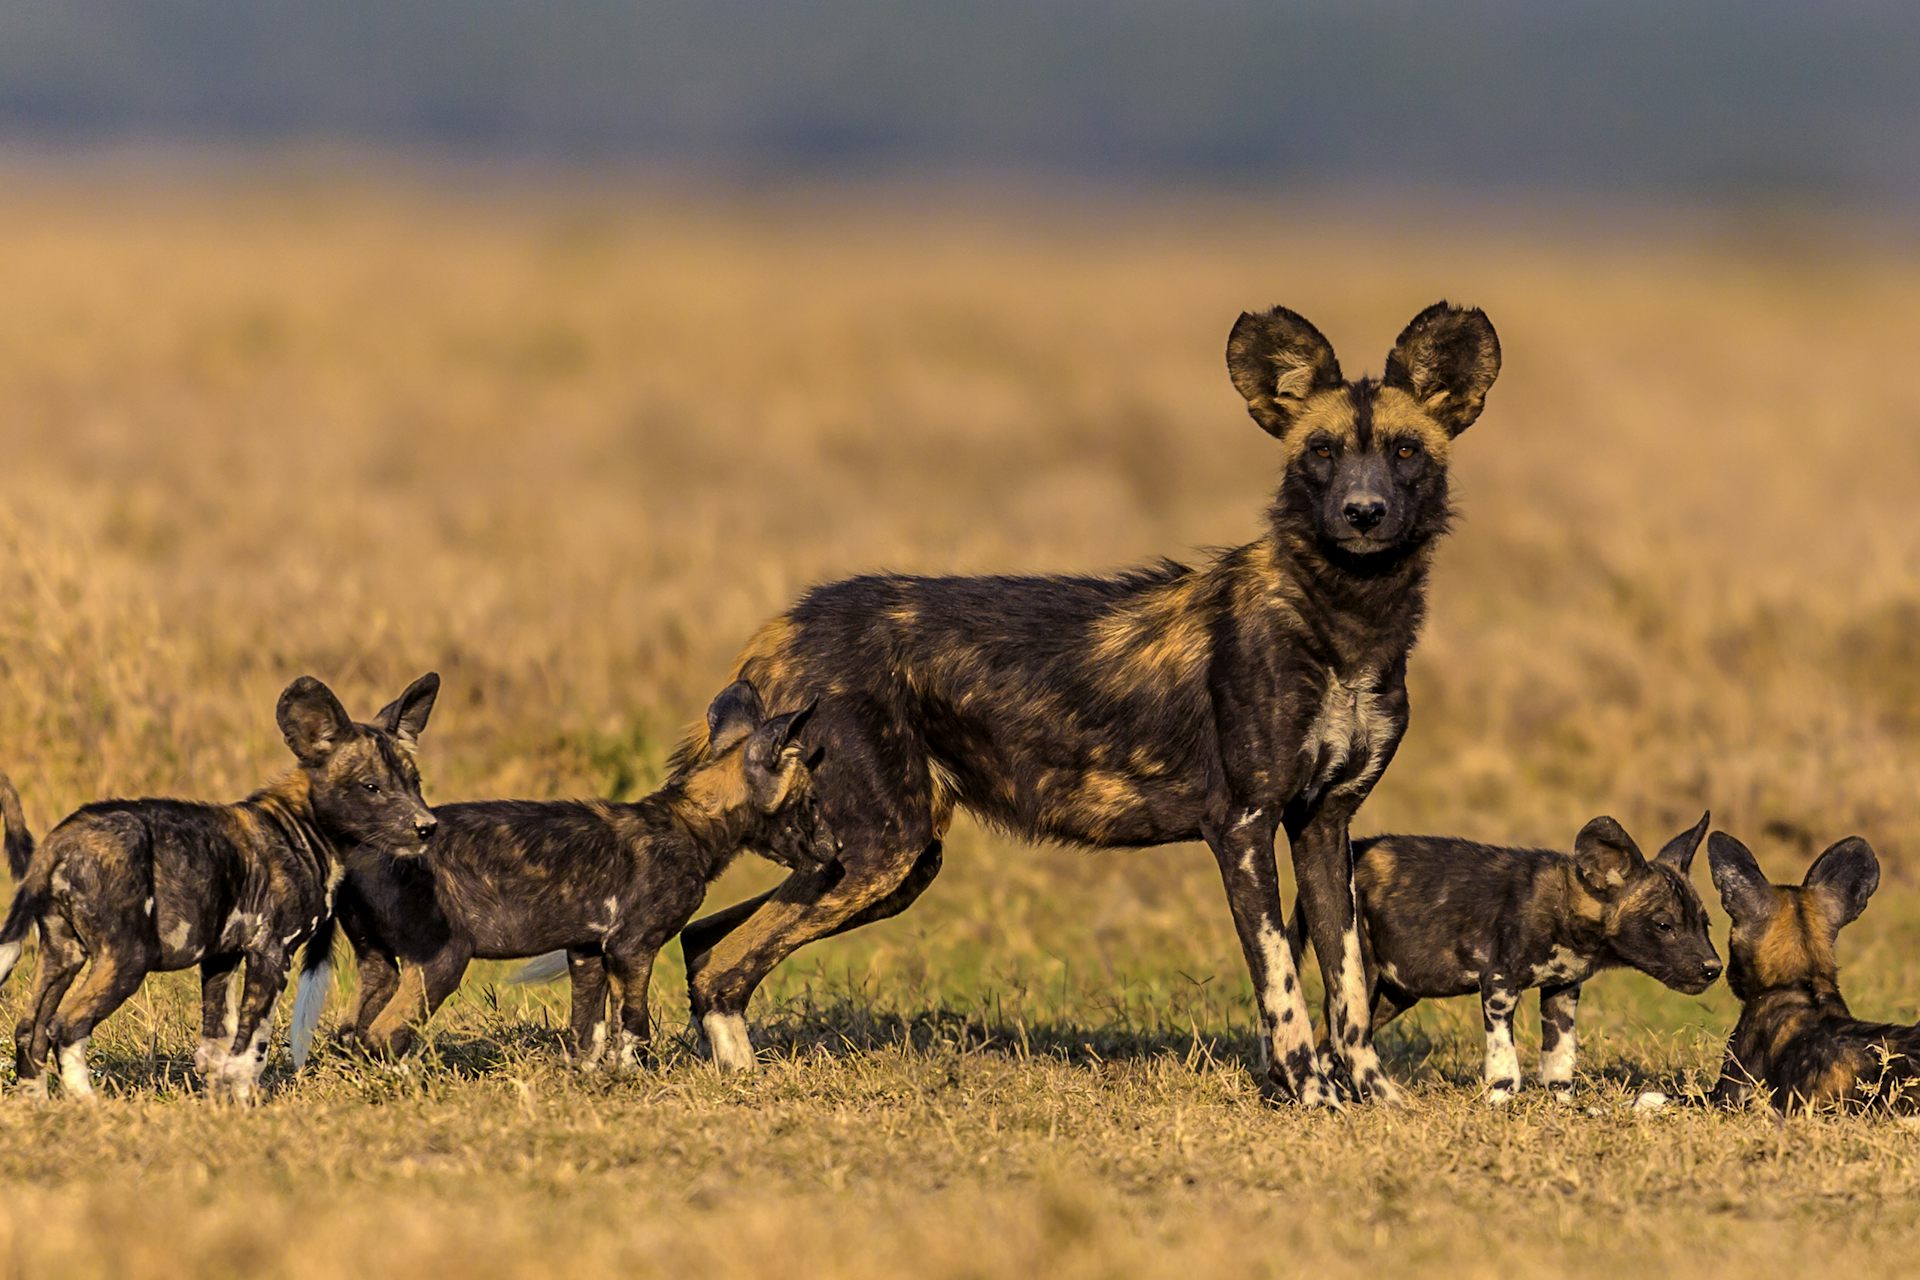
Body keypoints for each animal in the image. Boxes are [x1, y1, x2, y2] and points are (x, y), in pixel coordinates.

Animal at [0, 671, 437, 1105]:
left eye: (415, 784)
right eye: (371, 787)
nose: (427, 827)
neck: (303, 827)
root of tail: (62, 838)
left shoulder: (221, 958)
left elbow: (215, 1048)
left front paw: (219, 1104)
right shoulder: (270, 955)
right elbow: (250, 1050)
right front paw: (246, 1105)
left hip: (63, 954)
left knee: (30, 1030)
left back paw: (37, 1104)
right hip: (125, 960)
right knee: (65, 1027)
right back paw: (87, 1103)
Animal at [299, 679, 833, 1074]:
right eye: (810, 802)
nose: (837, 850)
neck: (690, 823)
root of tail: (357, 848)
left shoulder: (587, 952)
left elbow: (588, 1033)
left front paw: (587, 1077)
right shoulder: (632, 949)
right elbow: (633, 1029)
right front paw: (629, 1079)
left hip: (380, 965)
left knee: (352, 1032)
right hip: (442, 962)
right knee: (383, 1035)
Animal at [672, 301, 1497, 1105]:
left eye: (1405, 452)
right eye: (1321, 452)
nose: (1363, 512)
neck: (1345, 622)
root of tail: (784, 626)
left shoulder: (1326, 826)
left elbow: (1347, 984)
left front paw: (1375, 1099)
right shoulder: (1244, 827)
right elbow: (1283, 985)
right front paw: (1311, 1095)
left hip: (882, 863)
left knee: (704, 940)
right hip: (881, 851)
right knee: (725, 960)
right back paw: (743, 1083)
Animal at [1297, 809, 1720, 1105]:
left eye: (1705, 924)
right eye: (1664, 925)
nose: (1714, 969)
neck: (1566, 905)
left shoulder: (1562, 990)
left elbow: (1559, 1060)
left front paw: (1564, 1107)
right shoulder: (1499, 985)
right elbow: (1504, 1062)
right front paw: (1499, 1103)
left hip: (1393, 994)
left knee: (1328, 1041)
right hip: (1361, 976)